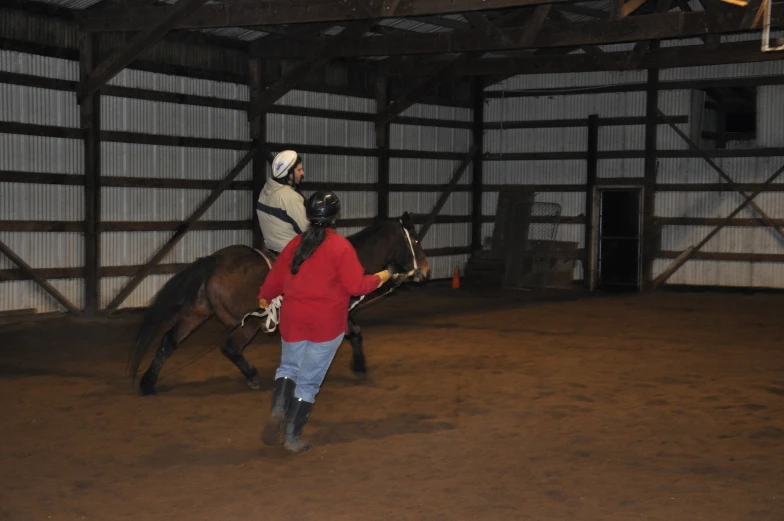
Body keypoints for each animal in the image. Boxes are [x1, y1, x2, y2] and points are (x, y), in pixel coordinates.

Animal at [131, 211, 432, 394]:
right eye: (416, 240)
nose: (426, 271)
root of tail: (216, 260)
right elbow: (355, 334)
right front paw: (359, 368)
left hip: (197, 311)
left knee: (169, 339)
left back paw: (148, 382)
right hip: (249, 322)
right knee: (229, 347)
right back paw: (252, 376)